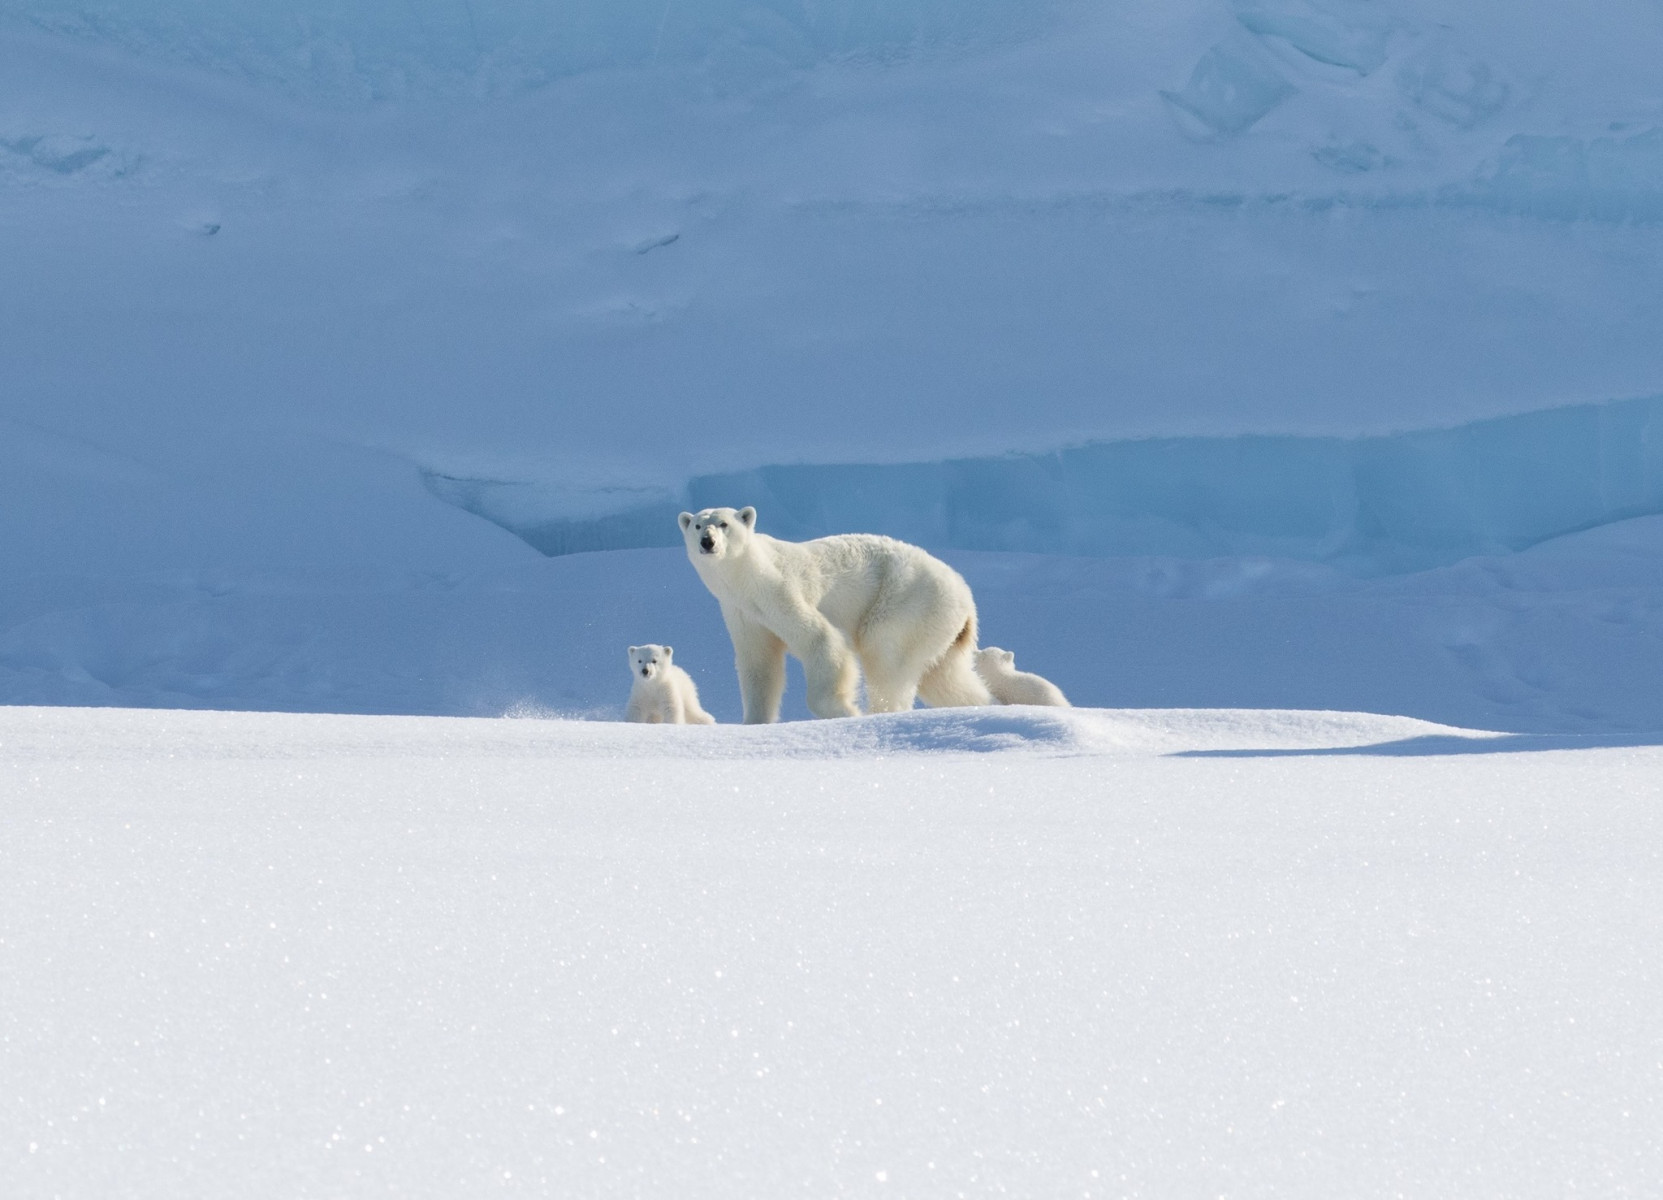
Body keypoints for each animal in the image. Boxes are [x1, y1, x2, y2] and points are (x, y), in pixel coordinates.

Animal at [675, 505, 984, 721]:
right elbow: (760, 665)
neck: (747, 579)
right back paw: (982, 703)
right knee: (944, 677)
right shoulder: (742, 612)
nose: (707, 542)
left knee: (885, 654)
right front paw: (754, 721)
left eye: (724, 524)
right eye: (698, 525)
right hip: (939, 625)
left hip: (909, 601)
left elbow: (823, 641)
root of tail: (965, 597)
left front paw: (846, 712)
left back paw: (879, 713)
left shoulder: (781, 592)